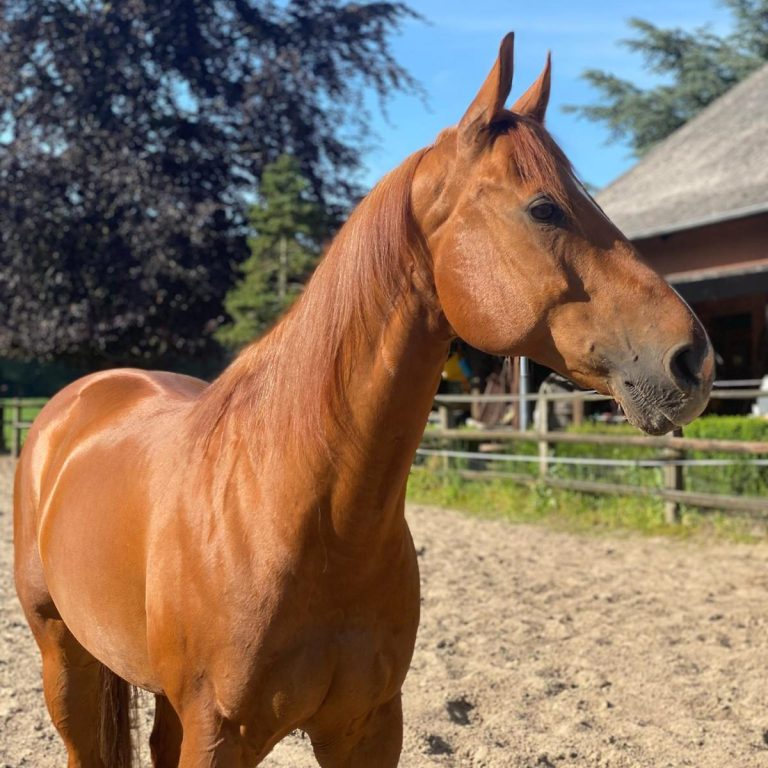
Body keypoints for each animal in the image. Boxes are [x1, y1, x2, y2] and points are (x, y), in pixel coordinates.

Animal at [14, 33, 713, 767]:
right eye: (544, 207)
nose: (693, 359)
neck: (300, 511)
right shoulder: (218, 733)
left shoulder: (368, 727)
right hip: (66, 662)